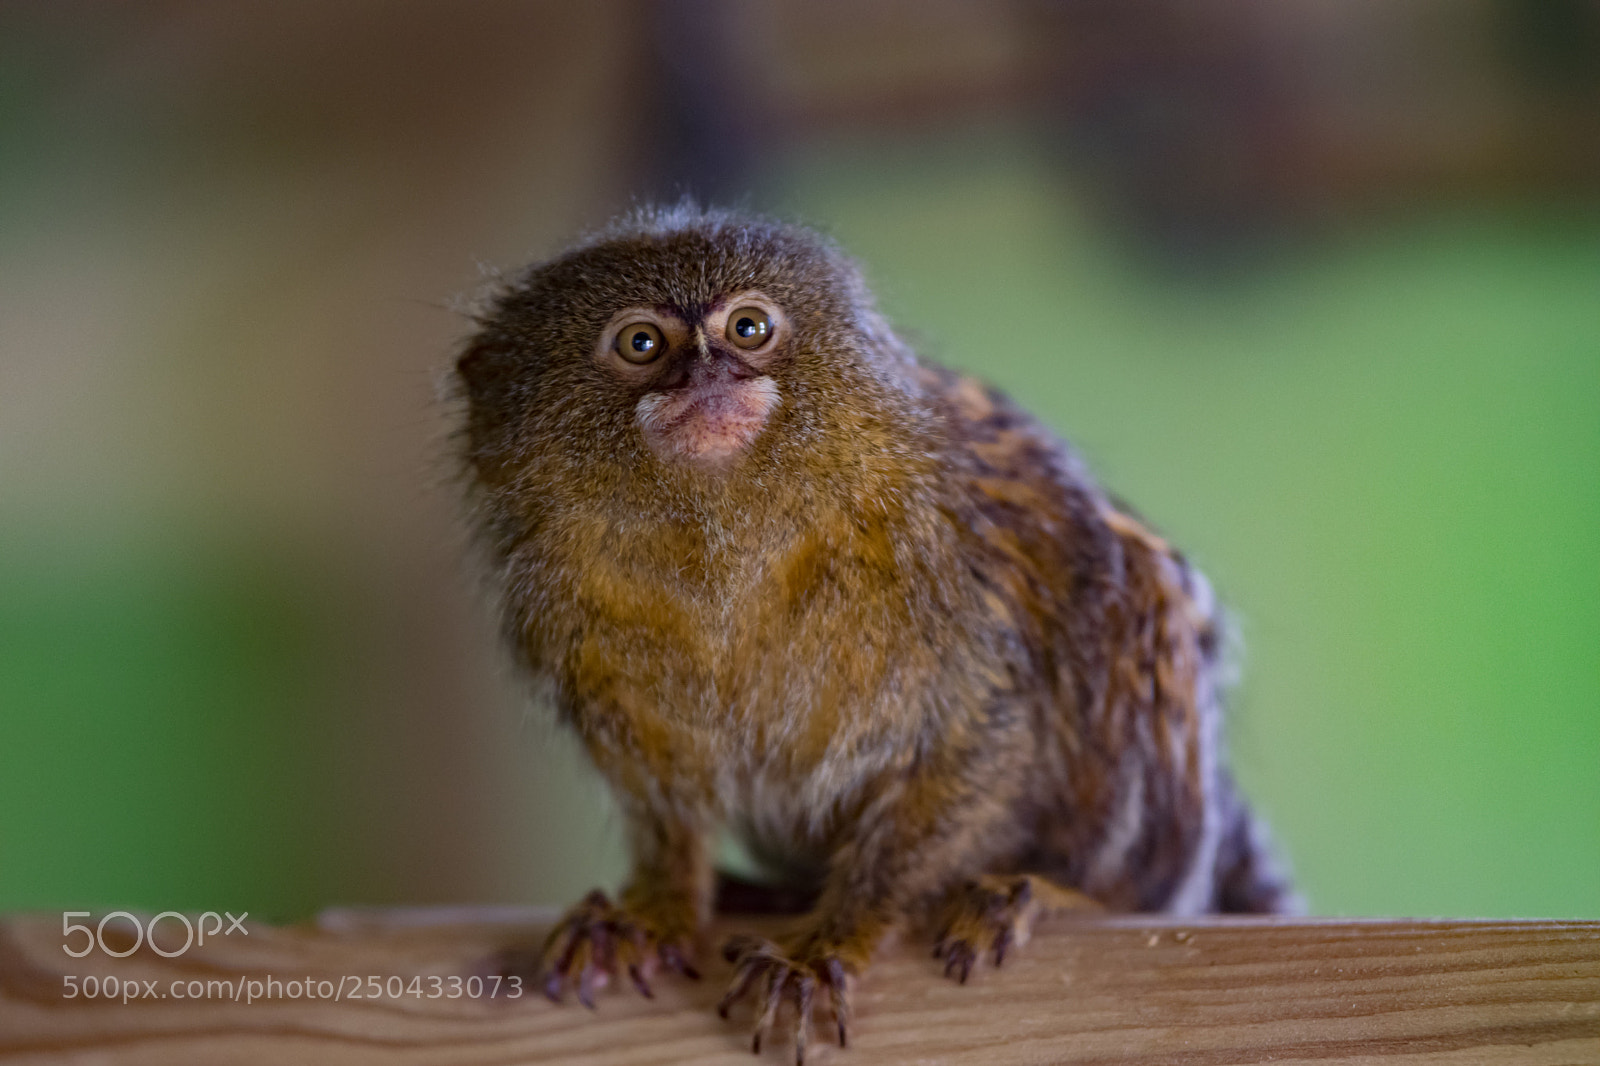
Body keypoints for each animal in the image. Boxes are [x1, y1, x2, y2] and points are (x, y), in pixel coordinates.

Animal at [453, 204, 1296, 1062]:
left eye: (748, 327)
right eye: (642, 344)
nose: (708, 374)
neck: (720, 539)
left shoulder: (937, 558)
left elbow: (977, 734)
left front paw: (830, 941)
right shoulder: (571, 607)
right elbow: (659, 786)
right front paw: (656, 908)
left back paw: (1062, 895)